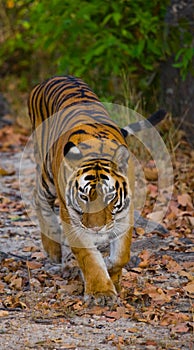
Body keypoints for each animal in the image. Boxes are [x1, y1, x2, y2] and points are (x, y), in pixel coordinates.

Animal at [28, 75, 166, 304]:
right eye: (83, 196)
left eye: (110, 196)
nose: (96, 229)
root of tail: (55, 77)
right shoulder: (71, 218)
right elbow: (89, 256)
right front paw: (101, 292)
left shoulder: (124, 214)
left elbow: (121, 255)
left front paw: (112, 274)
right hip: (46, 171)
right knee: (38, 197)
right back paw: (53, 250)